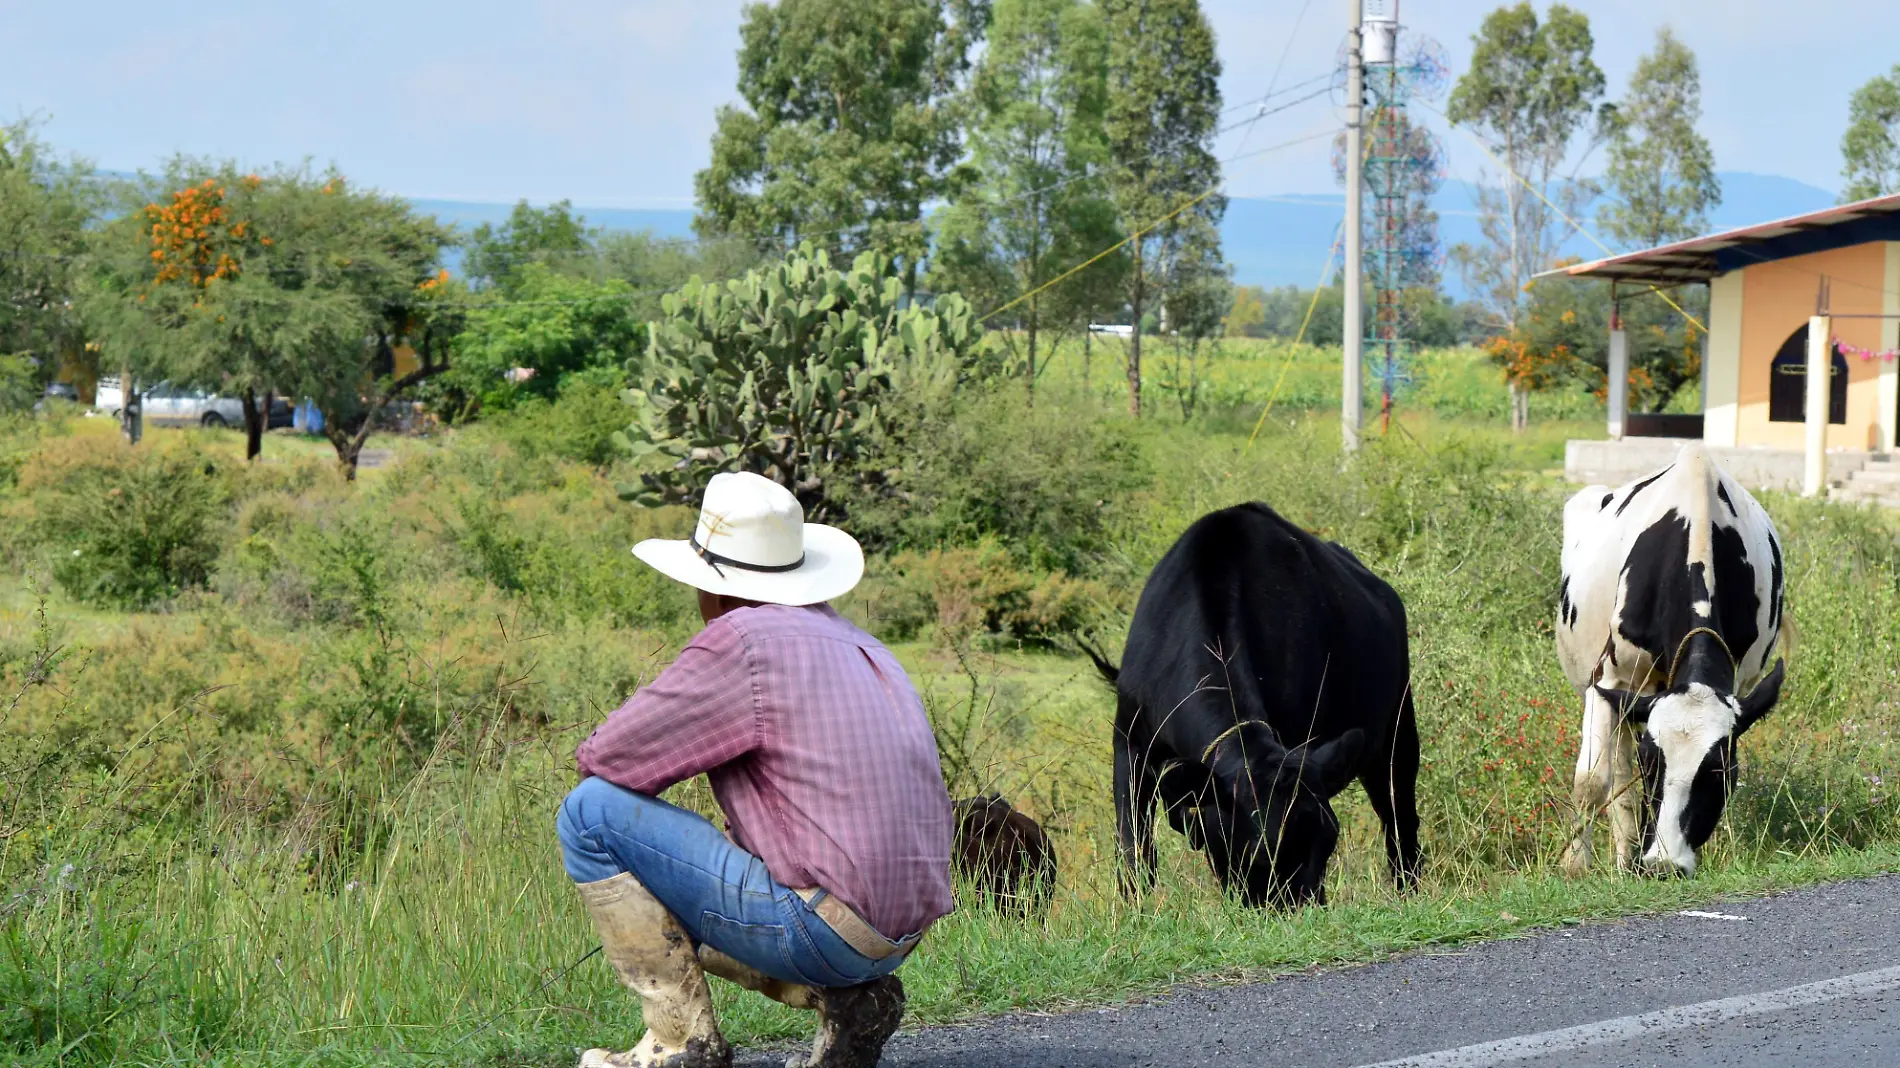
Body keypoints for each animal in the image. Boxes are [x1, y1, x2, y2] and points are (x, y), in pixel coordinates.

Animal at [1094, 501, 1421, 904]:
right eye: (1261, 853)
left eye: (1329, 842)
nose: (1307, 908)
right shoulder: (1130, 738)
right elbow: (1134, 845)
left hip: (1397, 730)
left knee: (1399, 816)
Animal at [1550, 440, 1786, 874]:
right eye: (1651, 764)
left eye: (1719, 770)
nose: (1662, 865)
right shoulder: (1607, 678)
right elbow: (1592, 781)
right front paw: (1575, 867)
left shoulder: (1739, 679)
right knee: (1617, 771)